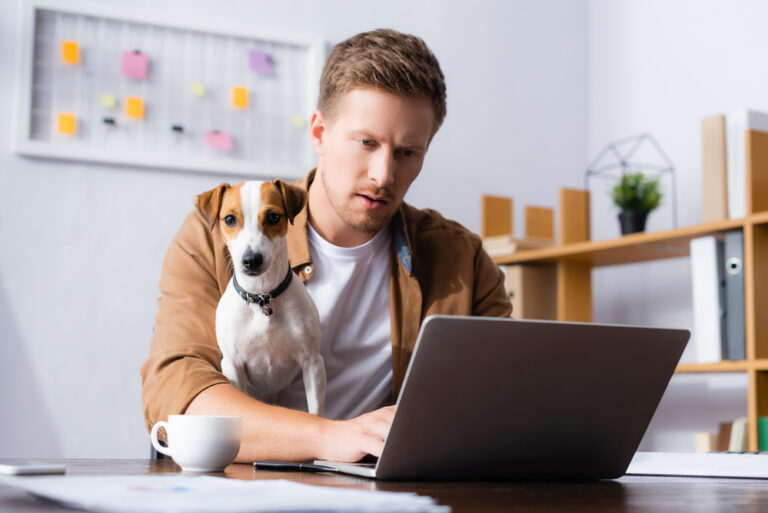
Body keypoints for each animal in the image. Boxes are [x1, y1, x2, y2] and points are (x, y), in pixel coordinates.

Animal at [194, 178, 326, 414]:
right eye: (229, 219)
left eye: (273, 217)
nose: (251, 260)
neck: (261, 296)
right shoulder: (233, 365)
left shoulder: (312, 363)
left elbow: (317, 414)